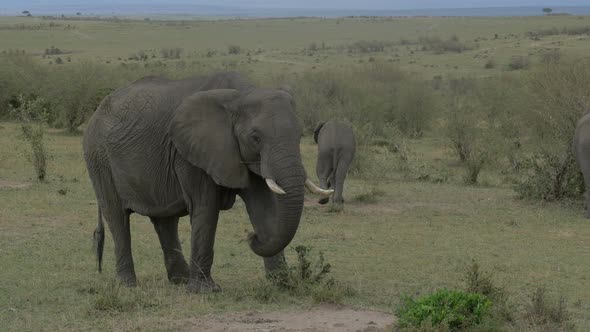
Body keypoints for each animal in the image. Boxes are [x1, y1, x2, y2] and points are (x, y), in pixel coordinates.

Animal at [82, 71, 332, 292]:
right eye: (255, 138)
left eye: (300, 135)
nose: (251, 236)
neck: (241, 94)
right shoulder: (191, 153)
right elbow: (205, 206)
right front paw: (205, 291)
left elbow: (263, 208)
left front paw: (283, 283)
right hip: (98, 157)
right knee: (117, 217)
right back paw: (128, 285)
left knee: (164, 220)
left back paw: (180, 281)